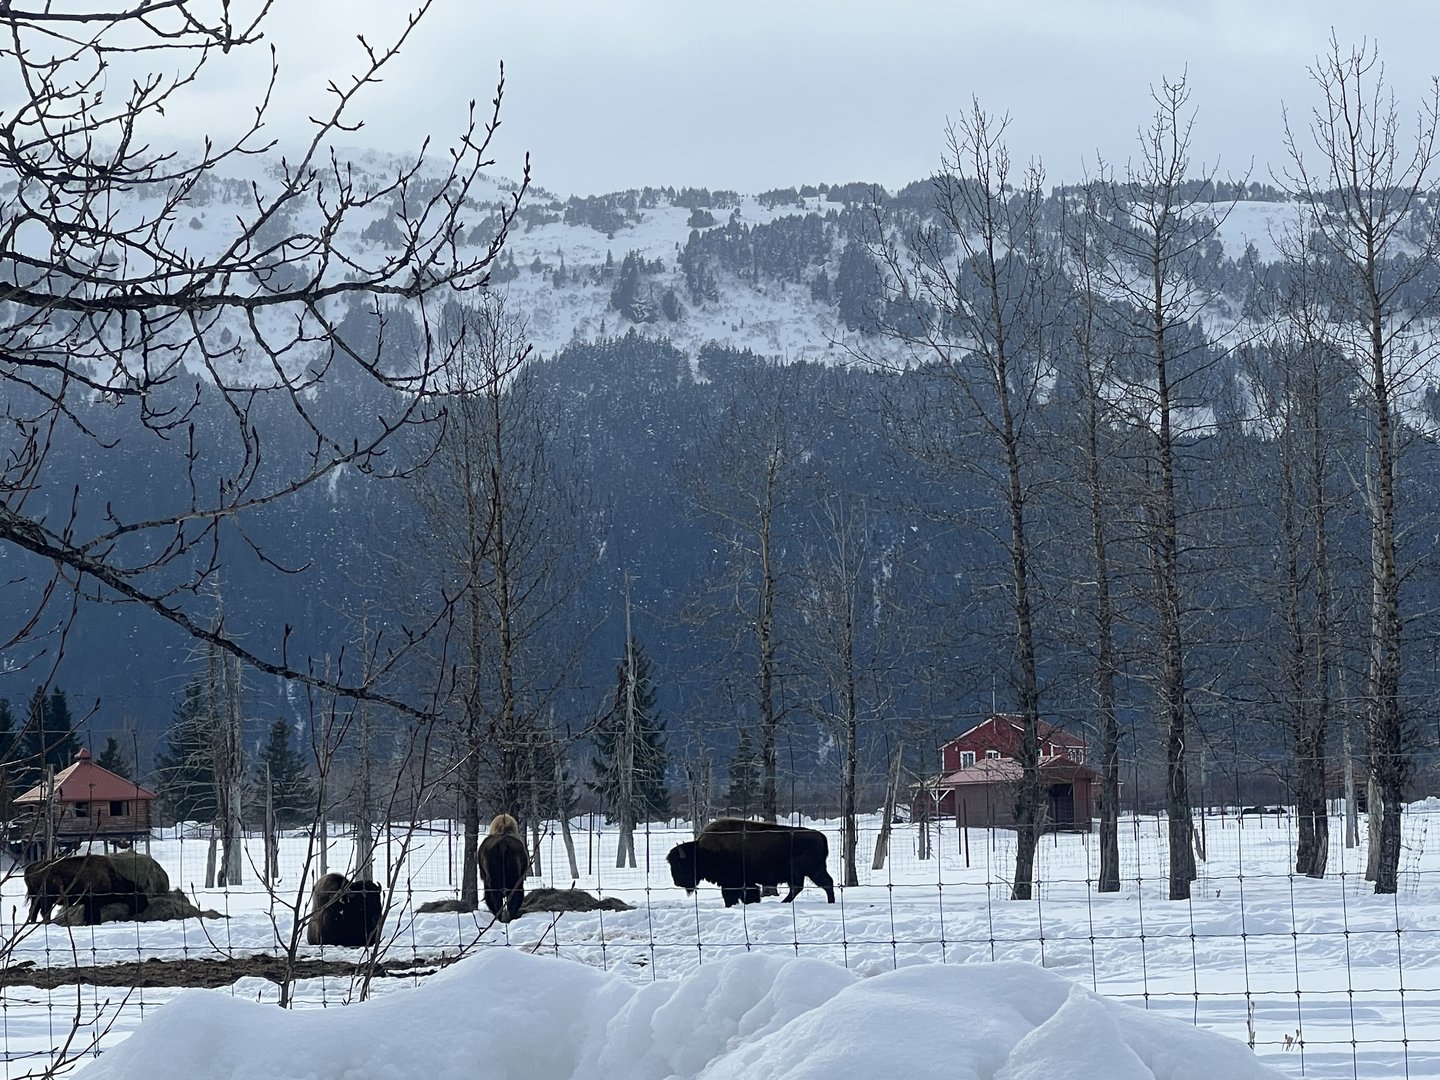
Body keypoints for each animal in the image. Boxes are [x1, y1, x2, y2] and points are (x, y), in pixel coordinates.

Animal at [667, 818, 836, 908]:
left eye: (679, 864)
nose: (677, 882)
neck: (702, 852)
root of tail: (820, 836)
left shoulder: (733, 882)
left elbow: (733, 896)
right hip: (809, 872)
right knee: (816, 885)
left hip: (808, 872)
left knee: (818, 884)